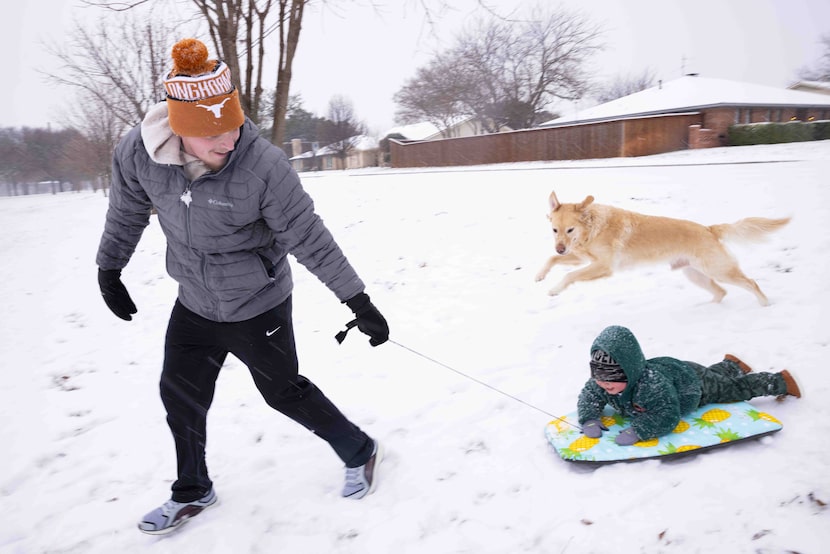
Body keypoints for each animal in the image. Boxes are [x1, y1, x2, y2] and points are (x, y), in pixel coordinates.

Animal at [540, 189, 792, 302]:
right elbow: (552, 260)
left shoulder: (603, 266)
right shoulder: (582, 257)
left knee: (750, 283)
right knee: (721, 292)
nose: (560, 247)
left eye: (570, 230)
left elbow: (570, 275)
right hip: (695, 274)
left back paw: (765, 304)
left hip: (719, 270)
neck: (593, 228)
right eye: (554, 230)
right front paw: (540, 275)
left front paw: (554, 289)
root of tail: (709, 228)